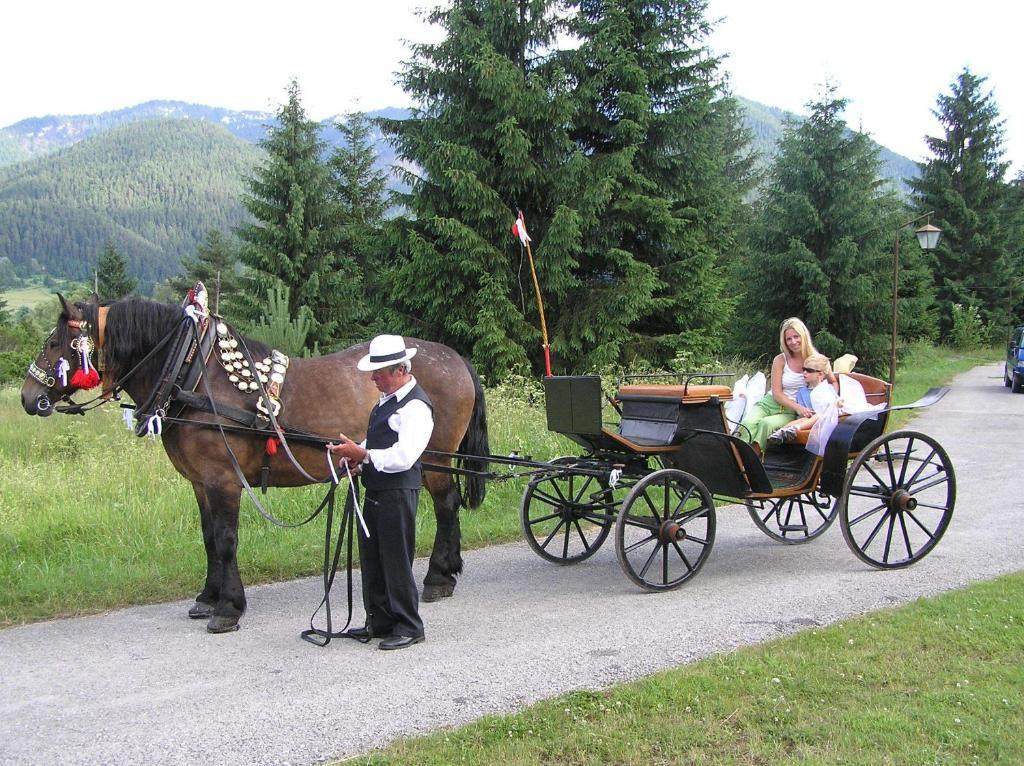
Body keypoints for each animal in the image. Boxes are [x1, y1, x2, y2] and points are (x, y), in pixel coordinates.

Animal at [19, 296, 489, 630]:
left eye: (56, 343)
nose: (28, 397)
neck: (192, 374)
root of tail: (457, 359)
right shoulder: (200, 483)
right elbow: (209, 539)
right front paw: (207, 597)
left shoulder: (223, 480)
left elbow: (226, 539)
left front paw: (228, 608)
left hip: (433, 458)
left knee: (446, 506)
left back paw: (438, 578)